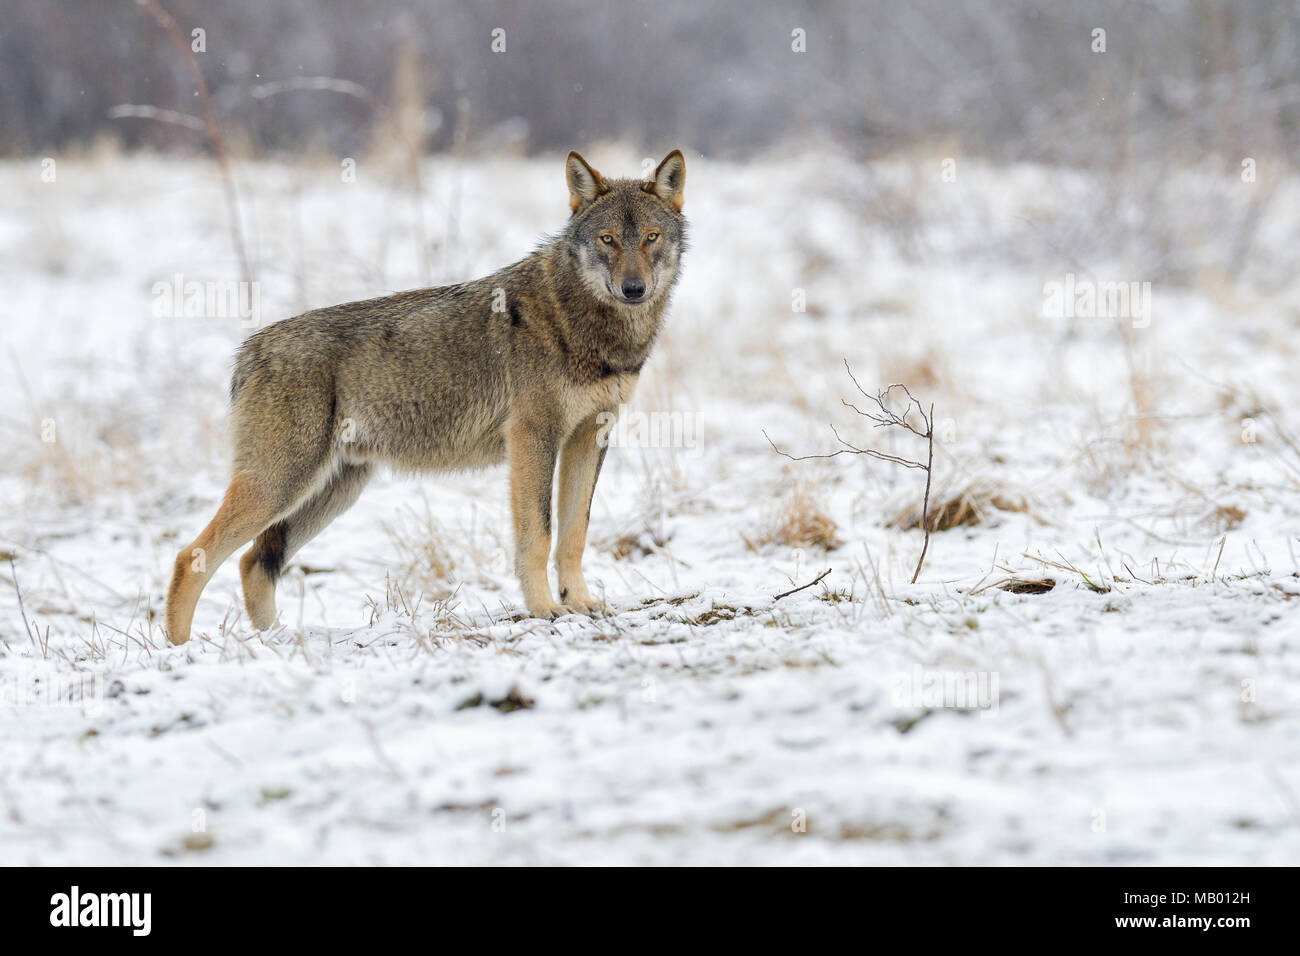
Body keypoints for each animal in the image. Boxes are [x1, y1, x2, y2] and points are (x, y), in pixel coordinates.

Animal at [164, 149, 687, 645]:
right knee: (191, 555)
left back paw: (276, 641)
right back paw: (178, 650)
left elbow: (575, 533)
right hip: (281, 485)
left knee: (253, 562)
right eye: (608, 240)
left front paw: (580, 604)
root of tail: (247, 351)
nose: (634, 288)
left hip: (332, 491)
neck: (588, 325)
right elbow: (538, 535)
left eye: (651, 237)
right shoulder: (533, 439)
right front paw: (544, 610)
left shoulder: (588, 437)